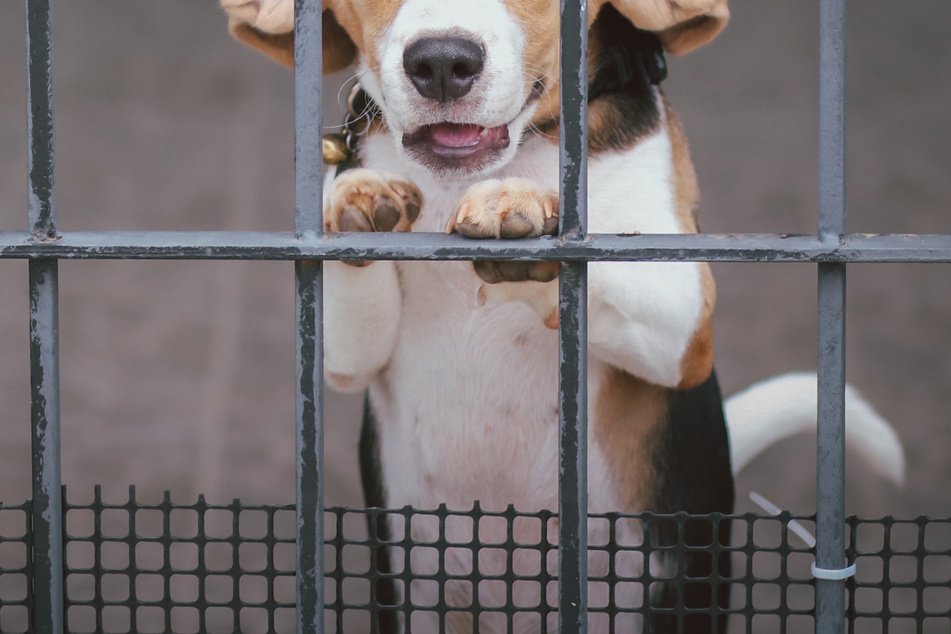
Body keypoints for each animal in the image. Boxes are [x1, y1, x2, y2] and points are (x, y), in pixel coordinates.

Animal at [219, 2, 904, 628]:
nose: (440, 62)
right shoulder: (343, 351)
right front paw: (360, 200)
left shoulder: (685, 324)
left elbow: (590, 250)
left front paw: (521, 205)